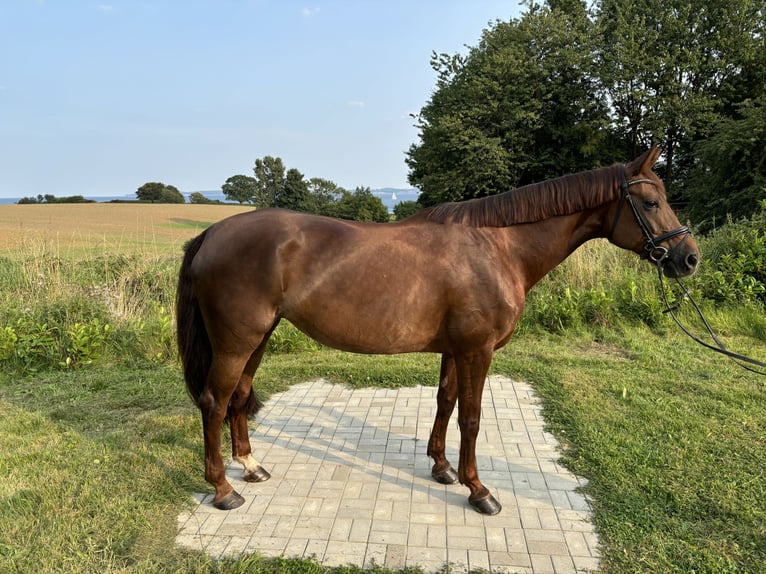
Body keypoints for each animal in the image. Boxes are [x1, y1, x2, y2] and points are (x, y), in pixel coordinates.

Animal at [178, 146, 704, 516]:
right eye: (651, 202)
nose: (689, 259)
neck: (498, 248)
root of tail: (212, 234)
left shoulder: (456, 350)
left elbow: (445, 402)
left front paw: (442, 468)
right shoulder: (478, 351)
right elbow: (471, 418)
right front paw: (479, 490)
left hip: (258, 339)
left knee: (238, 398)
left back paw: (251, 468)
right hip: (237, 343)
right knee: (215, 401)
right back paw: (223, 489)